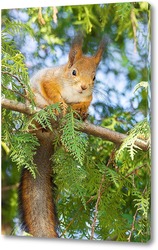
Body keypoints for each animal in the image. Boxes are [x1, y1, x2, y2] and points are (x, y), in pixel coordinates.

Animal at [19, 33, 105, 238]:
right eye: (73, 72)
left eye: (94, 77)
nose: (84, 87)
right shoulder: (49, 79)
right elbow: (50, 90)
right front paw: (62, 104)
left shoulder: (87, 97)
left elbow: (86, 101)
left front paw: (80, 110)